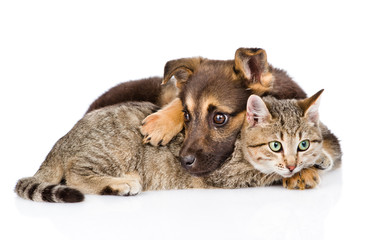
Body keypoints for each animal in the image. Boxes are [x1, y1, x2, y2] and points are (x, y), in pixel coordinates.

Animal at [14, 90, 342, 202]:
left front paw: (319, 157)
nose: (293, 162)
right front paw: (304, 170)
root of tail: (62, 140)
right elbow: (267, 172)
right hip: (113, 151)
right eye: (275, 145)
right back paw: (121, 184)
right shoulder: (226, 173)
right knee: (76, 175)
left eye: (302, 143)